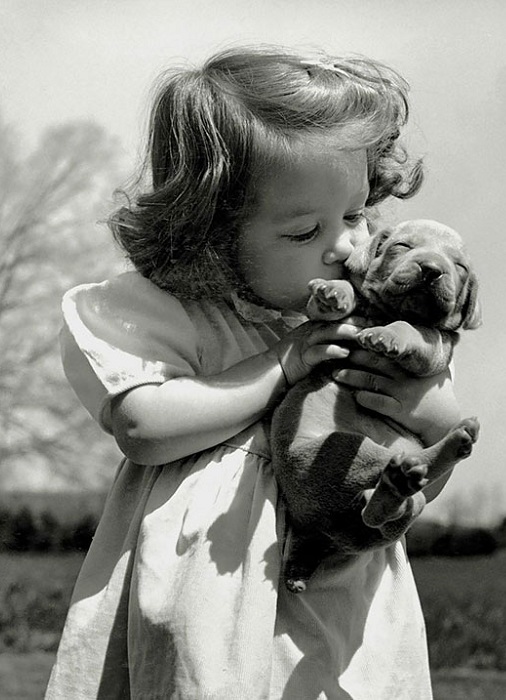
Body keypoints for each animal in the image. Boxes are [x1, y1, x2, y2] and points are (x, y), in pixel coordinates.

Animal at [272, 217, 482, 592]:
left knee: (391, 507)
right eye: (402, 246)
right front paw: (332, 292)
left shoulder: (436, 345)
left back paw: (438, 453)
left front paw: (388, 335)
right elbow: (333, 300)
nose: (432, 270)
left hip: (345, 453)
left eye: (459, 268)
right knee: (386, 510)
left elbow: (412, 329)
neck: (385, 311)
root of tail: (324, 533)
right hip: (335, 462)